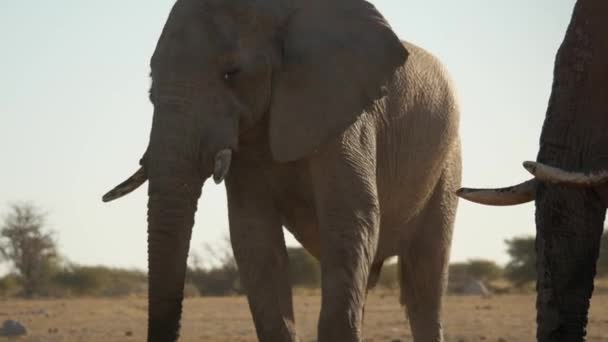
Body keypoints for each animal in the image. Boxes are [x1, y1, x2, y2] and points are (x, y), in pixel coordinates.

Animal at [103, 0, 460, 342]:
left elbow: (351, 217)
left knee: (424, 280)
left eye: (231, 73)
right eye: (151, 84)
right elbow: (254, 235)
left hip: (448, 163)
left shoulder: (344, 113)